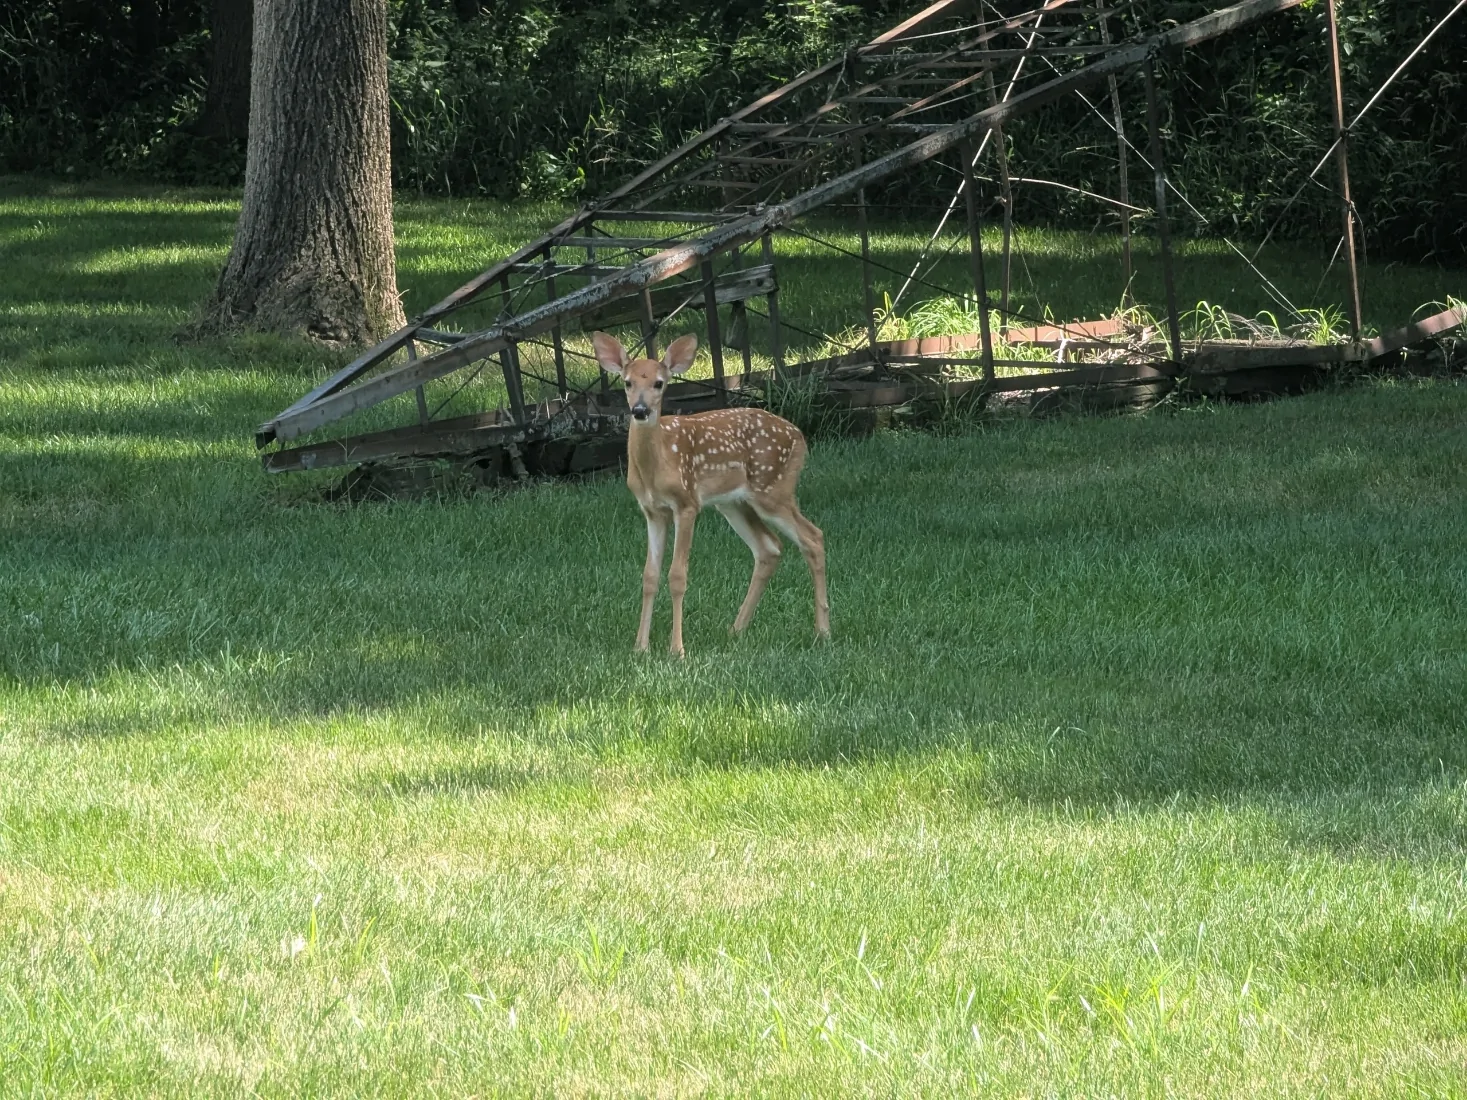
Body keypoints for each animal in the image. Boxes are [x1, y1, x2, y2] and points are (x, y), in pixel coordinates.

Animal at [591, 329, 830, 657]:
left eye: (659, 383)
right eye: (627, 382)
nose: (639, 410)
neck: (657, 465)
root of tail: (800, 436)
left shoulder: (687, 503)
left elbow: (677, 575)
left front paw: (677, 650)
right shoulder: (652, 511)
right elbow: (649, 576)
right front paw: (640, 647)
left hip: (773, 489)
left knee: (813, 537)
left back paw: (823, 631)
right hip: (734, 503)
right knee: (769, 548)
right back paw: (736, 629)